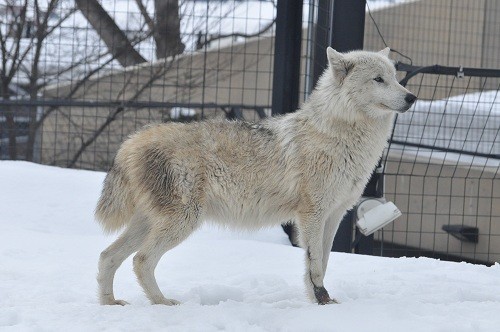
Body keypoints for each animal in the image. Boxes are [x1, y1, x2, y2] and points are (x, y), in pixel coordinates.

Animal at [95, 47, 416, 306]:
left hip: (151, 223)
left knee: (107, 256)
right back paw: (162, 303)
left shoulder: (334, 215)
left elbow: (323, 261)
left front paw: (321, 300)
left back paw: (110, 304)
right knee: (141, 260)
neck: (340, 136)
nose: (412, 97)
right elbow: (314, 265)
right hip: (182, 222)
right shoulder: (312, 215)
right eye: (378, 79)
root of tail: (132, 141)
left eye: (395, 77)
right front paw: (322, 302)